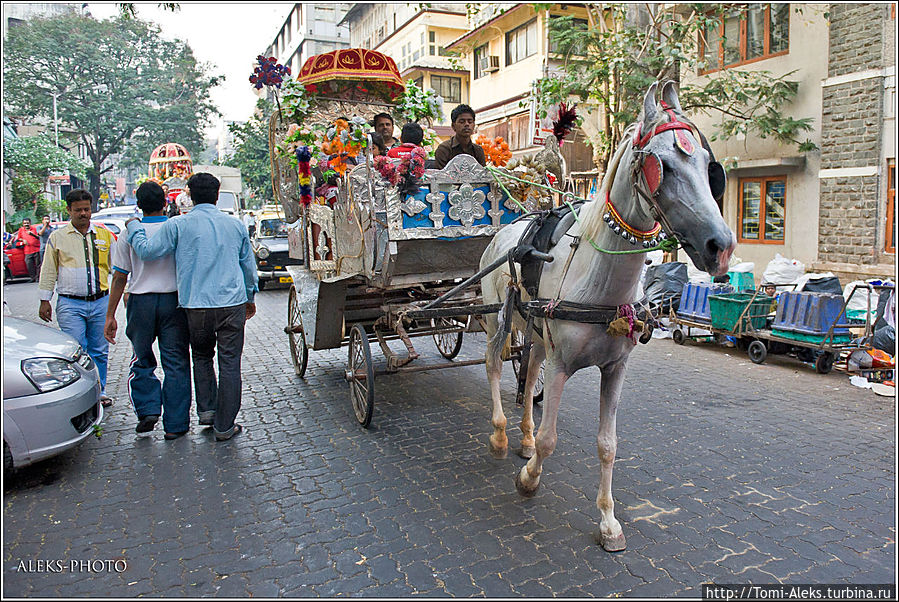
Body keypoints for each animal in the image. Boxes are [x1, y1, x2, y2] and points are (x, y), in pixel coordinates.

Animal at [482, 82, 736, 552]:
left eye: (710, 168)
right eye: (662, 166)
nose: (721, 246)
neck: (599, 281)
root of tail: (505, 230)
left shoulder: (615, 368)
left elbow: (608, 445)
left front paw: (607, 520)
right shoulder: (563, 365)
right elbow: (551, 439)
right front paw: (529, 479)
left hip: (537, 333)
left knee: (529, 372)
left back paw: (523, 435)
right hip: (495, 320)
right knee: (493, 366)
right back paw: (502, 434)